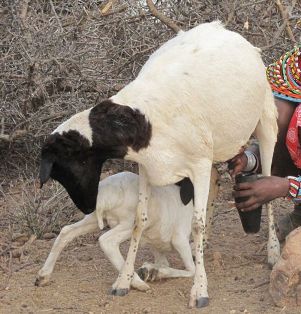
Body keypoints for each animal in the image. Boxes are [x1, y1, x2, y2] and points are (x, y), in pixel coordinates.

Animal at [39, 22, 278, 310]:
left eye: (72, 163)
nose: (87, 207)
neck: (147, 120)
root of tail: (221, 27)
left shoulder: (197, 163)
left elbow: (196, 223)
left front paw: (200, 290)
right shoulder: (148, 167)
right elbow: (140, 219)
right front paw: (124, 281)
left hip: (265, 121)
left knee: (268, 178)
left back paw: (273, 252)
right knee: (214, 181)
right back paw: (201, 248)